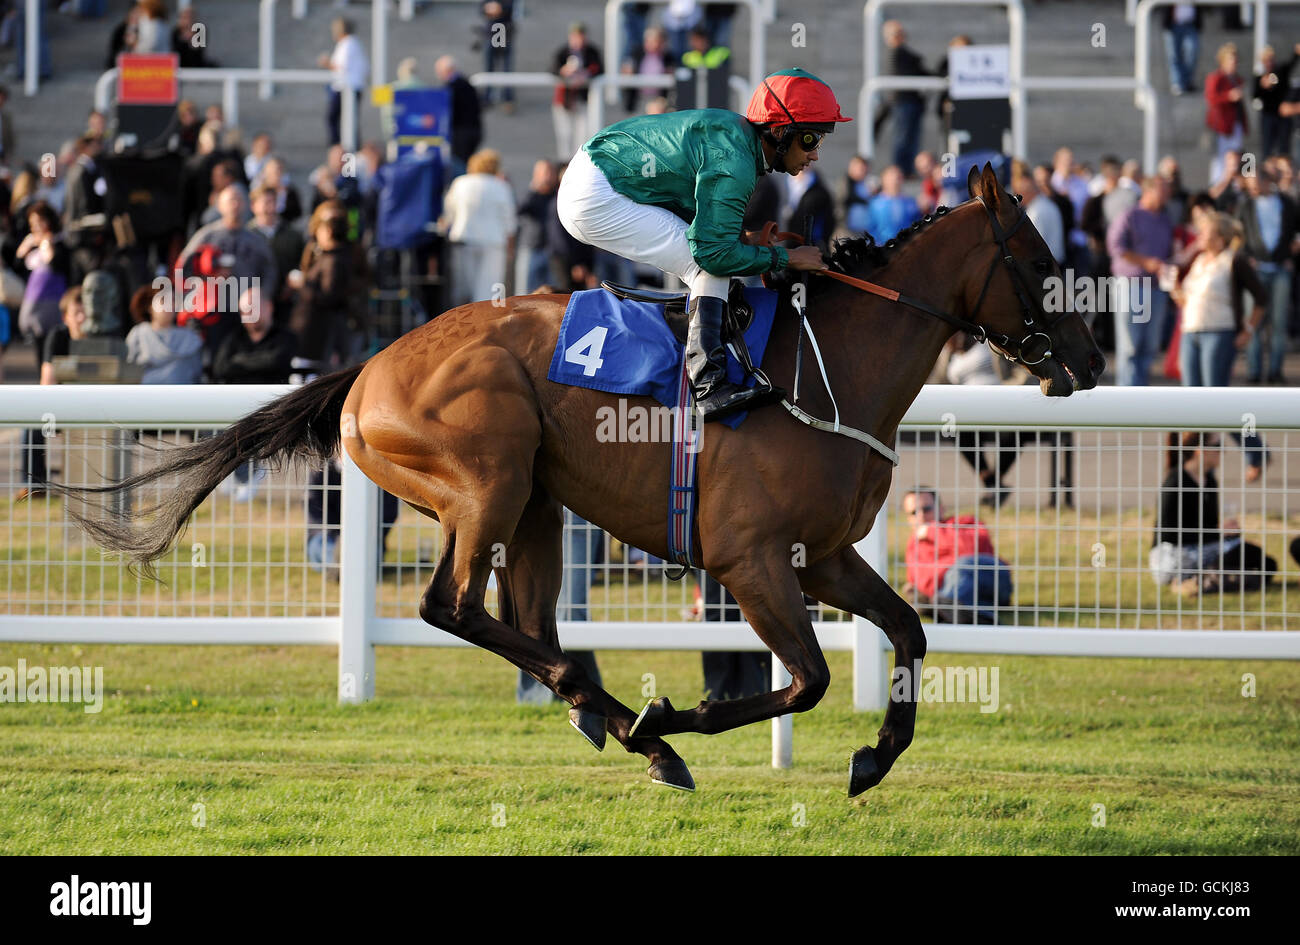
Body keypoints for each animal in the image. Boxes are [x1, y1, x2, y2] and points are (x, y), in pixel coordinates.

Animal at [58, 164, 1097, 800]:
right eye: (1042, 262)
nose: (1086, 359)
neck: (822, 366)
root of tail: (369, 368)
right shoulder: (754, 561)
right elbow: (804, 680)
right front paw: (682, 710)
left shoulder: (825, 556)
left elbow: (909, 631)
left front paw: (873, 757)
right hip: (488, 474)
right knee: (452, 606)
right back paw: (638, 725)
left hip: (537, 502)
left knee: (525, 618)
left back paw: (609, 716)